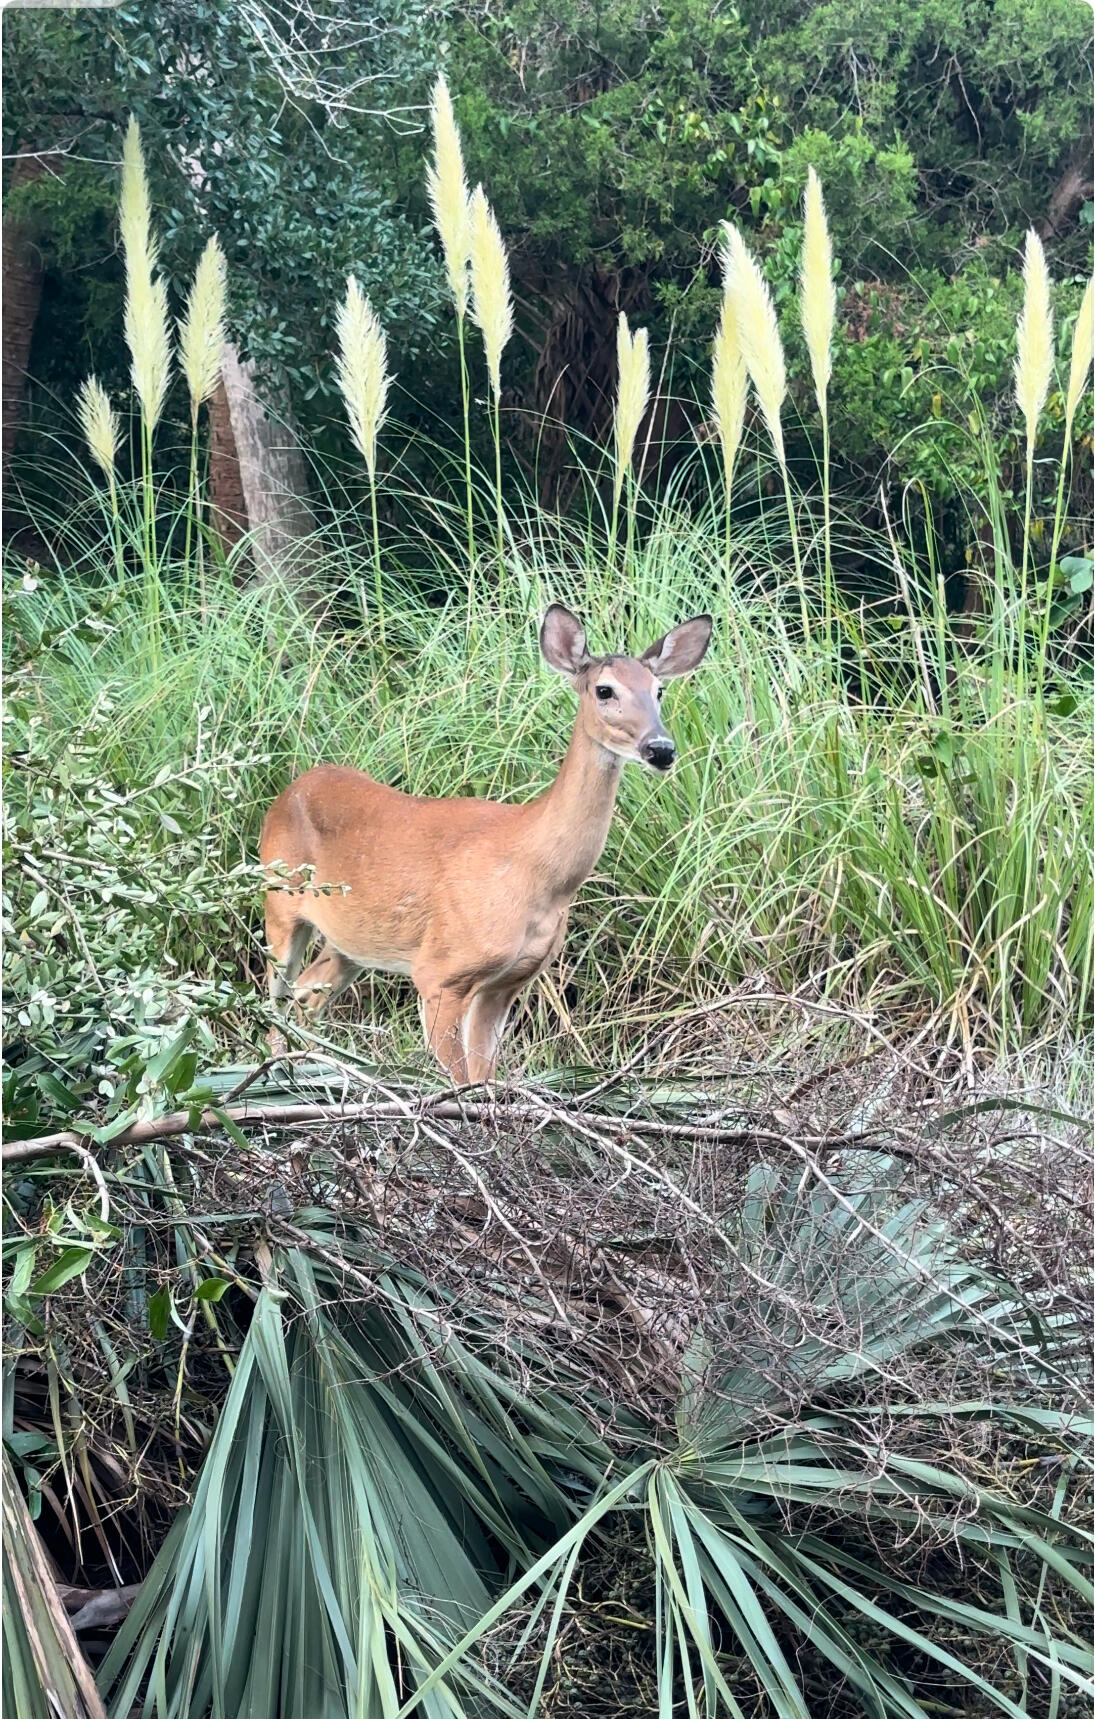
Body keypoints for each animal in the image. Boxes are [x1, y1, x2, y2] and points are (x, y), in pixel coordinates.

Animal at [260, 604, 712, 1085]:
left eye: (659, 690)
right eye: (604, 690)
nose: (660, 749)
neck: (536, 871)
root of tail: (291, 790)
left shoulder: (508, 982)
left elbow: (484, 1078)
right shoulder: (440, 972)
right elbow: (460, 1082)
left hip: (351, 942)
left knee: (309, 994)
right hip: (279, 903)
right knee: (276, 999)